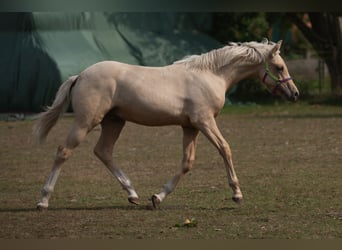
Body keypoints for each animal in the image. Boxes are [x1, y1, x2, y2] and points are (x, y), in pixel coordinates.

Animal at [33, 39, 298, 210]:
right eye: (279, 67)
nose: (294, 94)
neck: (211, 75)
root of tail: (80, 75)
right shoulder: (204, 121)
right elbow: (225, 149)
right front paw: (237, 194)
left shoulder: (190, 127)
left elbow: (187, 163)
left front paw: (157, 198)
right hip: (86, 121)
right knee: (63, 151)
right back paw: (43, 200)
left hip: (114, 122)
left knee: (103, 151)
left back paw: (133, 194)